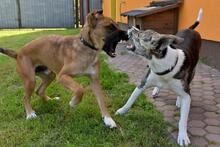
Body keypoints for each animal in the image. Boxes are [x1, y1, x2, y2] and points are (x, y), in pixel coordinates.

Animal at [0, 9, 128, 128]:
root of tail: (18, 54)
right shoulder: (62, 76)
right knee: (25, 97)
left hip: (50, 75)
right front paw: (73, 103)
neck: (86, 47)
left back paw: (50, 100)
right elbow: (80, 89)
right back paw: (30, 114)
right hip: (31, 80)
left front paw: (108, 119)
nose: (127, 34)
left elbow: (101, 100)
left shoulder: (94, 80)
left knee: (39, 91)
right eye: (110, 27)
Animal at [117, 9, 203, 146]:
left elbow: (183, 119)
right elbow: (130, 99)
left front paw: (183, 136)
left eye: (139, 34)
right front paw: (121, 111)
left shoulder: (186, 95)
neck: (162, 65)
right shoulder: (143, 83)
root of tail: (191, 29)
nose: (130, 27)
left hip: (192, 72)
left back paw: (178, 100)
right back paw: (157, 90)